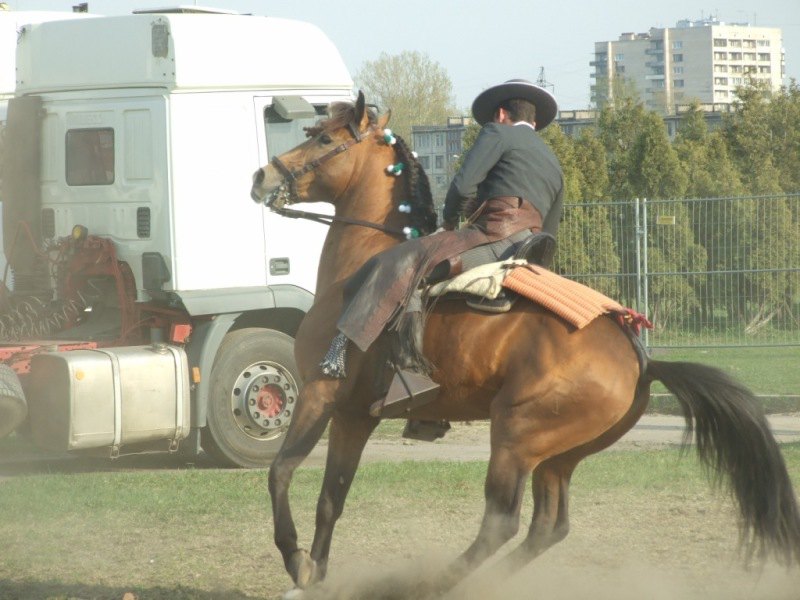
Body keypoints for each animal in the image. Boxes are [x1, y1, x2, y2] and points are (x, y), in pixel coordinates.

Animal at [253, 94, 800, 596]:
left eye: (324, 138)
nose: (262, 176)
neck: (359, 264)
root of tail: (641, 360)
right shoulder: (353, 415)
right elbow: (332, 497)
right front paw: (316, 574)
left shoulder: (321, 393)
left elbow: (281, 471)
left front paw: (297, 562)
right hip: (559, 455)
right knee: (548, 526)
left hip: (515, 437)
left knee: (501, 522)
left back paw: (432, 582)